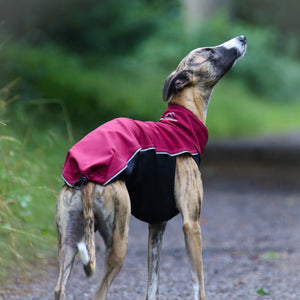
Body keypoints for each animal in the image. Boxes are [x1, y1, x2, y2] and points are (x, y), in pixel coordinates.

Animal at [54, 36, 246, 298]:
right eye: (208, 51)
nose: (242, 38)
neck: (180, 124)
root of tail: (85, 176)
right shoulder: (192, 224)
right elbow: (198, 282)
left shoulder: (157, 225)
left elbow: (152, 283)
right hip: (117, 242)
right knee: (99, 291)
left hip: (70, 240)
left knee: (59, 289)